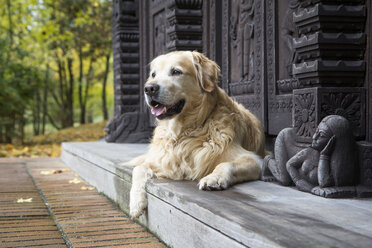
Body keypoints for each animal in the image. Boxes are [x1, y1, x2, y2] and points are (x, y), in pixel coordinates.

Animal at [128, 51, 264, 218]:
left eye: (176, 71)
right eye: (153, 74)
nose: (149, 88)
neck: (185, 131)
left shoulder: (254, 160)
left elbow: (226, 163)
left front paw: (214, 177)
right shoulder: (164, 162)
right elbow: (138, 169)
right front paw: (136, 204)